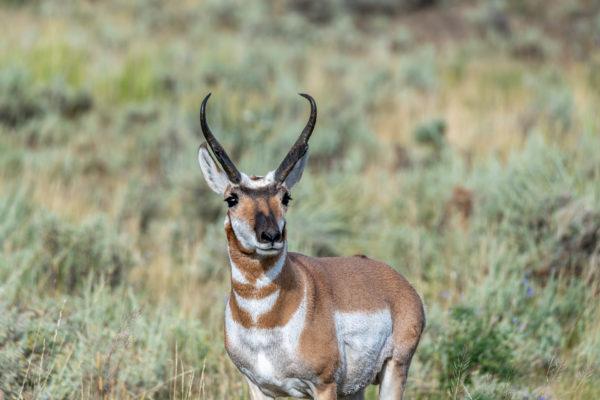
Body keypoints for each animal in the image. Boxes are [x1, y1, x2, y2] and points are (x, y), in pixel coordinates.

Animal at [199, 92, 424, 398]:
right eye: (231, 199)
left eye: (285, 197)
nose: (271, 236)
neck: (263, 319)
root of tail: (400, 283)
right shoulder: (258, 387)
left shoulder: (323, 385)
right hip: (355, 390)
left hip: (393, 370)